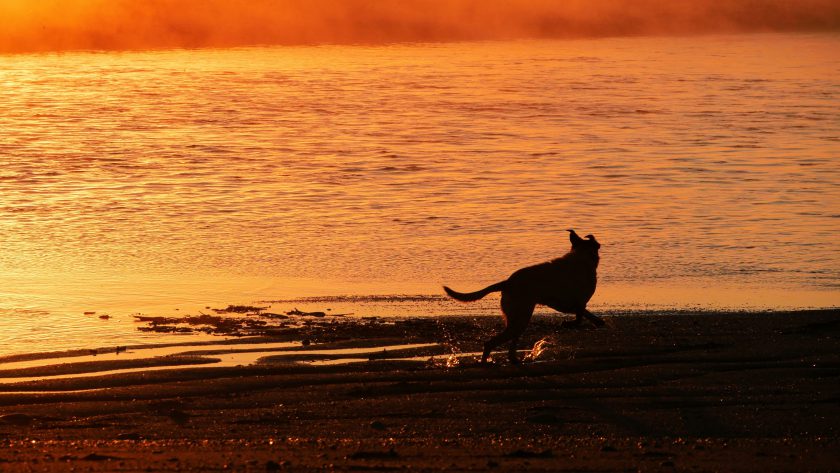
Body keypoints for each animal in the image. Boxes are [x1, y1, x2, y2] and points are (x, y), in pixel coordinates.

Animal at [442, 230, 600, 364]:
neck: (582, 255)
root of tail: (507, 283)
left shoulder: (571, 305)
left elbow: (585, 315)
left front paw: (596, 321)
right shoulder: (579, 303)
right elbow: (579, 319)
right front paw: (571, 323)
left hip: (517, 321)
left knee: (510, 345)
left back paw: (513, 360)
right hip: (521, 319)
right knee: (491, 343)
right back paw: (485, 363)